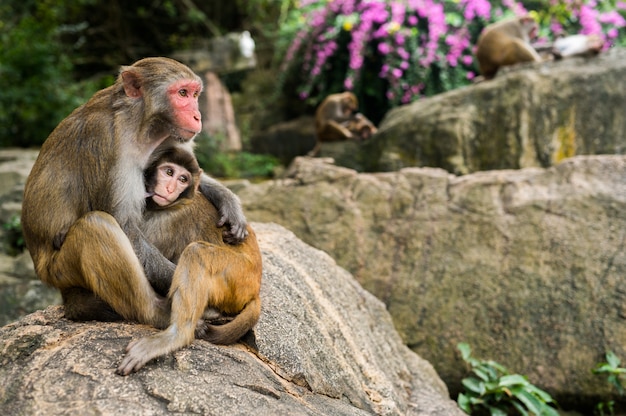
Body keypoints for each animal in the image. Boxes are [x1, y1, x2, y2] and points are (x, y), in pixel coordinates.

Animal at [22, 57, 246, 332]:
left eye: (194, 94)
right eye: (182, 93)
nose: (197, 115)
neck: (140, 124)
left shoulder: (169, 138)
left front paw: (229, 202)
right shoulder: (105, 140)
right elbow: (125, 224)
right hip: (58, 269)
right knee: (95, 225)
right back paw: (157, 313)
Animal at [117, 141, 260, 376]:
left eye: (182, 179)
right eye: (168, 172)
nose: (169, 188)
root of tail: (256, 289)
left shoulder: (167, 221)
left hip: (238, 276)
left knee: (196, 253)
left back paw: (177, 336)